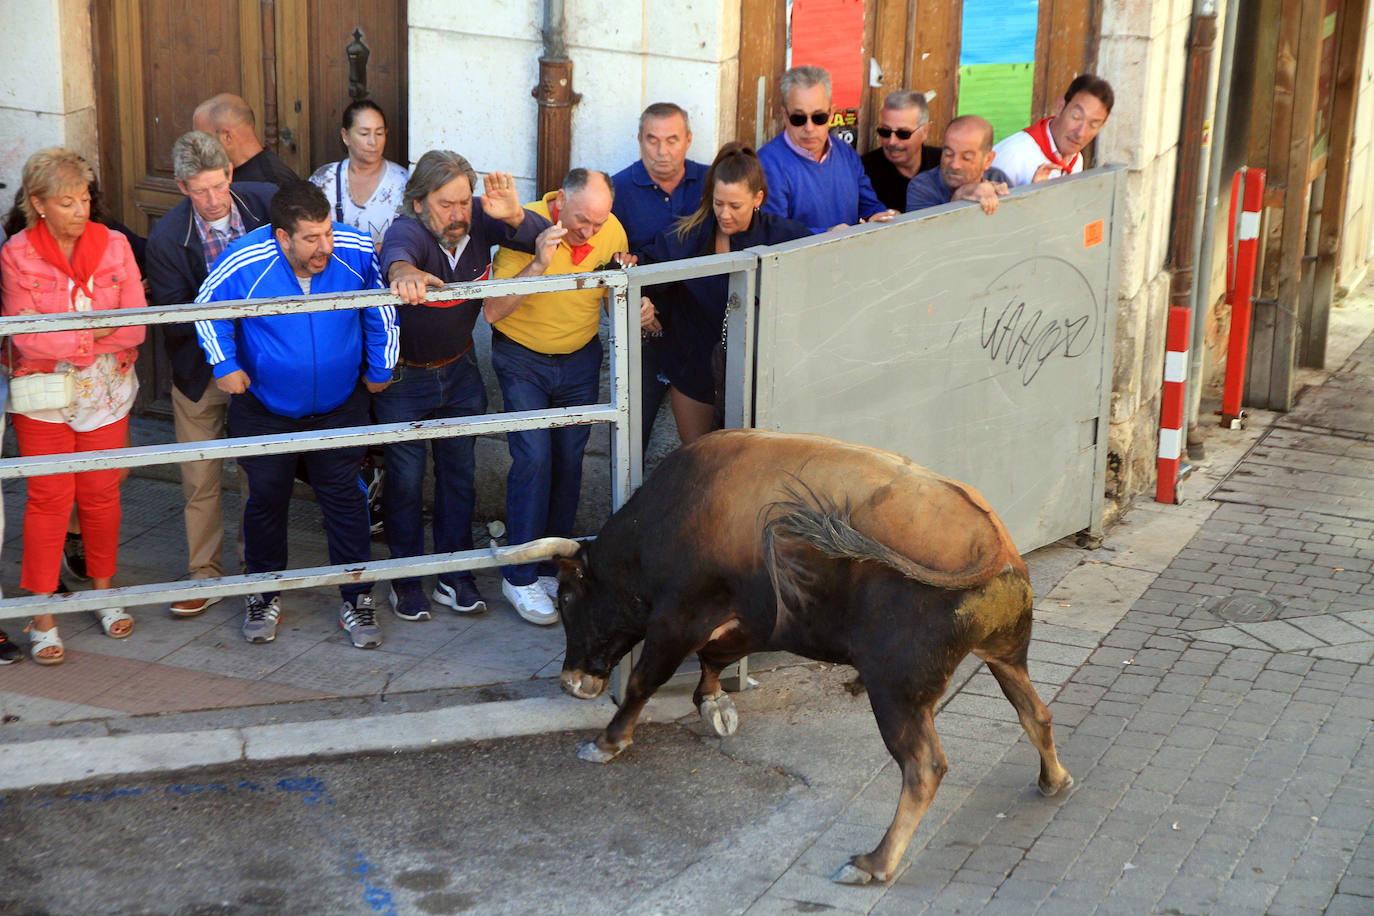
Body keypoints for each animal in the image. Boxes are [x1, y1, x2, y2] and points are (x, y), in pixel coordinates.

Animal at [538, 433, 1071, 884]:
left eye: (565, 596)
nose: (570, 681)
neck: (669, 517)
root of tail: (992, 540)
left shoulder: (677, 618)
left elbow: (645, 681)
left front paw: (607, 742)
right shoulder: (752, 619)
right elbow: (715, 658)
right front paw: (713, 703)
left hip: (896, 690)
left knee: (924, 768)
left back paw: (874, 863)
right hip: (1006, 655)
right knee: (1036, 714)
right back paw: (1054, 779)